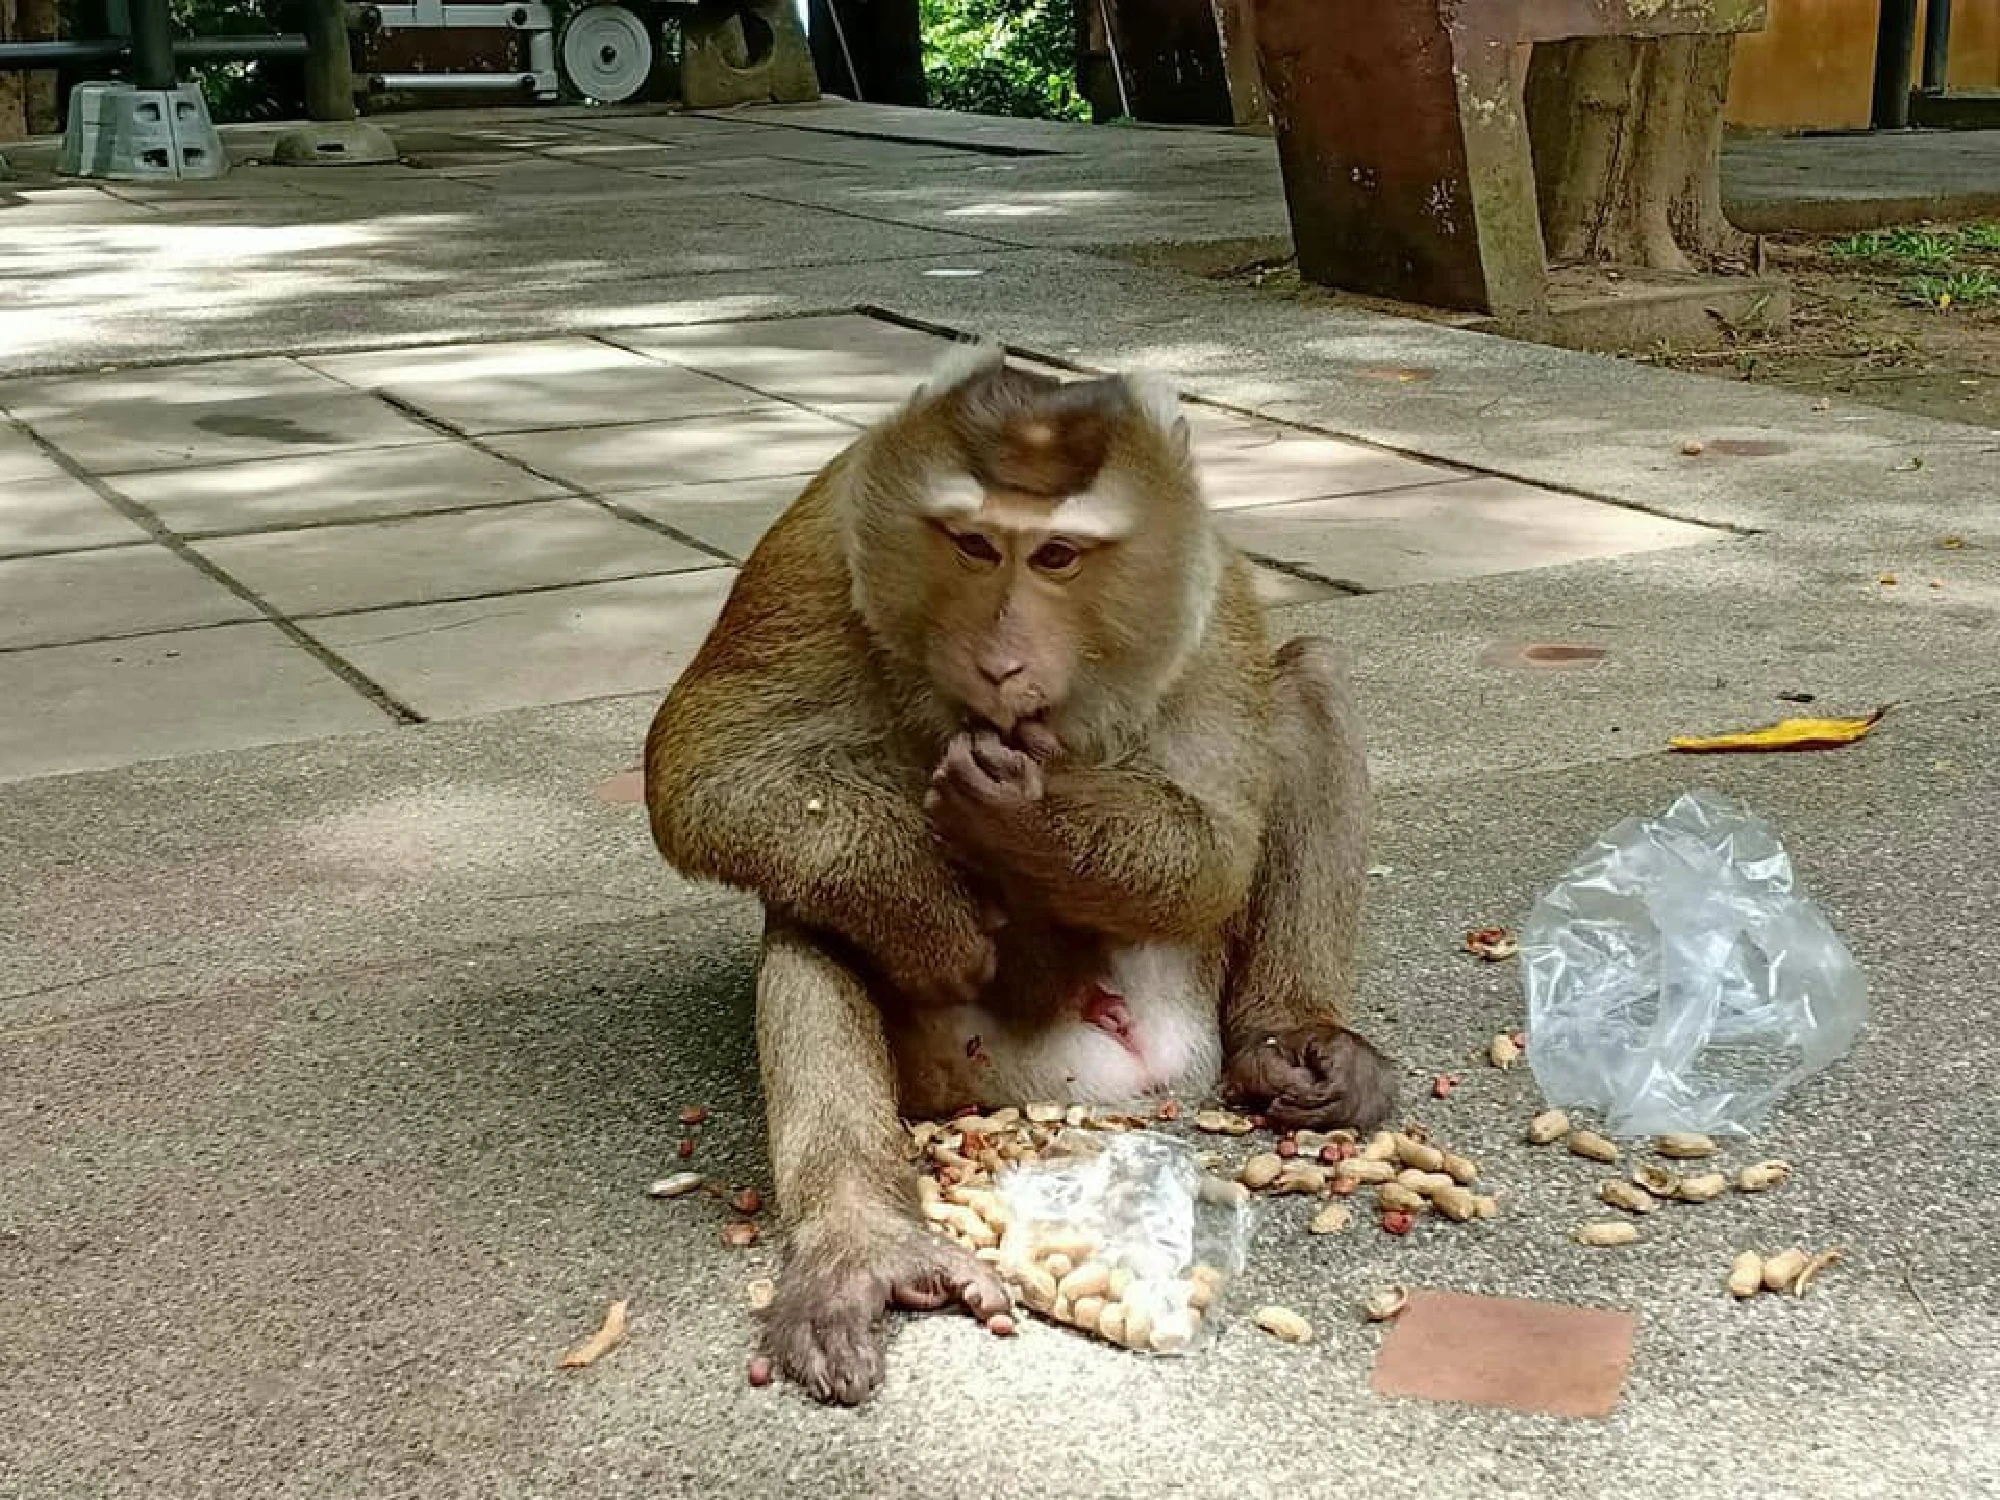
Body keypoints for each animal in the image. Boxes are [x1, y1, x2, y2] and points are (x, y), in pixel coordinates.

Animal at [642, 340, 1396, 1405]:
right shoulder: (819, 540)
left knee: (1306, 679)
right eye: (970, 545)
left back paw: (1290, 1040)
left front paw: (1021, 817)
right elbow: (704, 768)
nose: (1000, 663)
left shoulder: (1207, 588)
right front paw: (928, 906)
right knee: (811, 905)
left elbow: (1214, 841)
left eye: (1056, 557)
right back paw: (860, 1240)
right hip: (947, 1065)